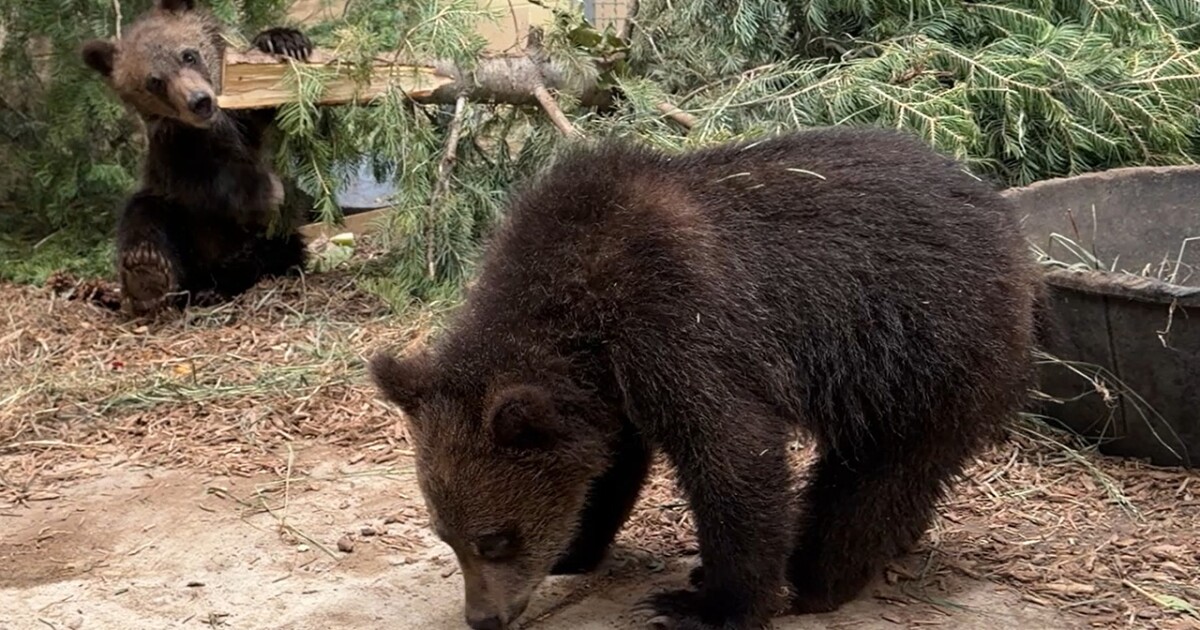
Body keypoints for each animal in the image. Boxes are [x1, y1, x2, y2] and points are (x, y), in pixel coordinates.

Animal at [80, 0, 312, 316]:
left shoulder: (246, 127)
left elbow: (268, 113)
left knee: (278, 247)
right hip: (177, 218)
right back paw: (149, 271)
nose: (199, 101)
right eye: (155, 82)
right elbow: (211, 182)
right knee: (143, 215)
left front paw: (283, 40)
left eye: (188, 55)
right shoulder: (177, 154)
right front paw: (265, 190)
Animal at [368, 126, 1042, 630]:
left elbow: (732, 454)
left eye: (495, 540)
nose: (483, 617)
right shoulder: (611, 385)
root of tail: (1008, 221)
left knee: (879, 474)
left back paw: (818, 577)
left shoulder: (679, 324)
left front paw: (707, 603)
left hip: (922, 348)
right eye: (446, 538)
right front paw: (580, 544)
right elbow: (611, 463)